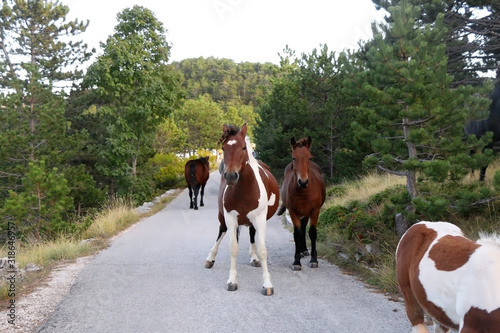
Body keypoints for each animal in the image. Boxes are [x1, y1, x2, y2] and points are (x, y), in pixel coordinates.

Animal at [204, 123, 282, 294]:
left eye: (243, 147)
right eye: (224, 147)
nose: (231, 176)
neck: (245, 190)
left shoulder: (260, 219)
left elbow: (262, 250)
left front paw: (267, 284)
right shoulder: (231, 218)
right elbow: (233, 248)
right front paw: (232, 281)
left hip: (253, 221)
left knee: (252, 235)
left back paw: (253, 258)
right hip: (223, 218)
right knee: (221, 232)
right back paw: (210, 258)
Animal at [276, 137, 326, 270]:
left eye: (309, 157)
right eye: (294, 157)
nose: (303, 182)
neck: (303, 191)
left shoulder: (315, 211)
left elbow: (312, 233)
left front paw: (314, 260)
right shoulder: (293, 212)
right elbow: (297, 234)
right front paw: (296, 261)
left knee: (304, 227)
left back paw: (304, 250)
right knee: (300, 229)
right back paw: (302, 251)